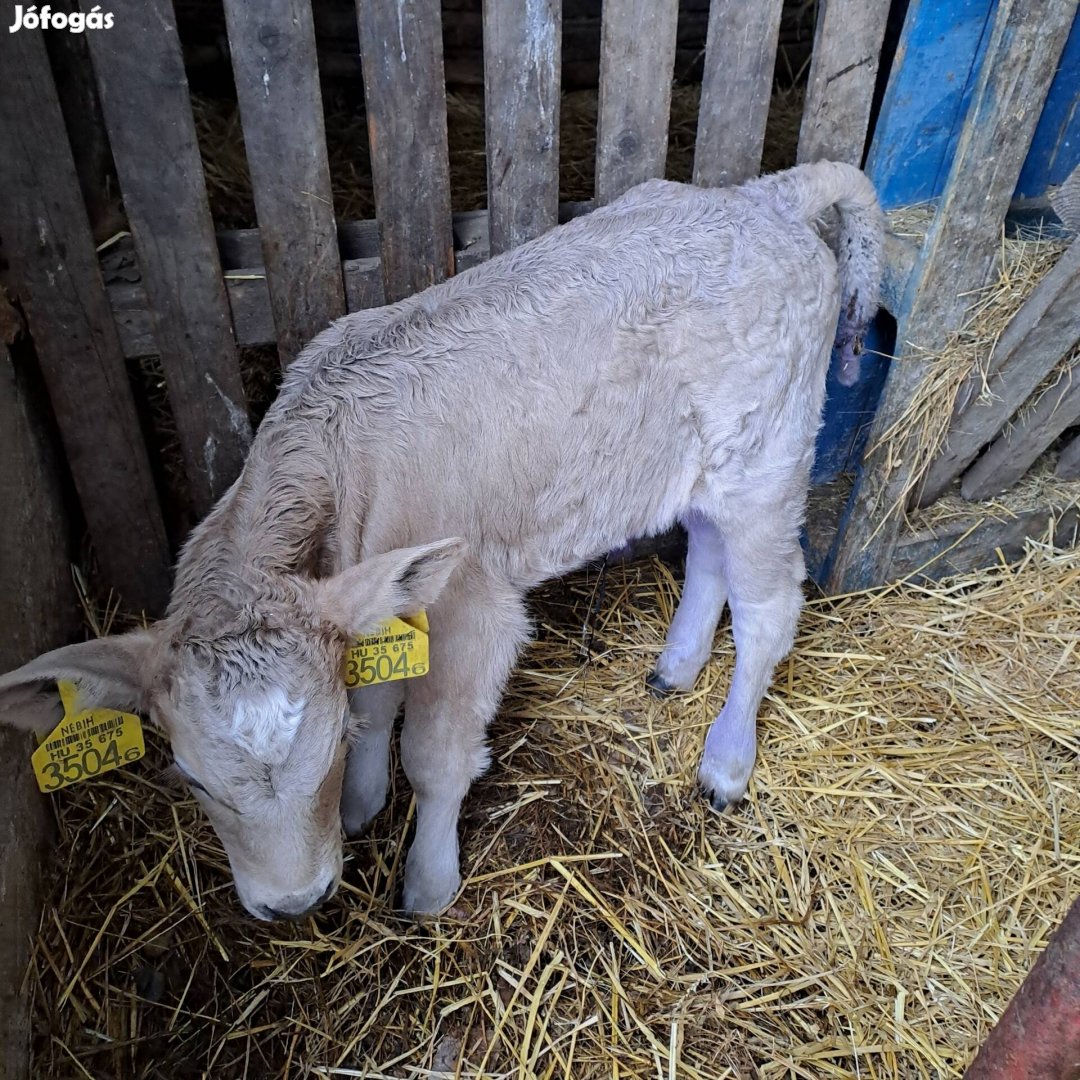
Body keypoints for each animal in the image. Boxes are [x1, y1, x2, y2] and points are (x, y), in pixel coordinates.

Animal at [0, 159, 885, 920]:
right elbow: (379, 690)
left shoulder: (469, 601)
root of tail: (767, 195)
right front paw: (363, 802)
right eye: (188, 778)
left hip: (769, 458)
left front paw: (427, 880)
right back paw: (675, 667)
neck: (337, 456)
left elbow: (433, 753)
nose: (295, 904)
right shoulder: (378, 591)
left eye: (323, 747)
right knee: (707, 554)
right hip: (698, 461)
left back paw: (726, 760)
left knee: (769, 606)